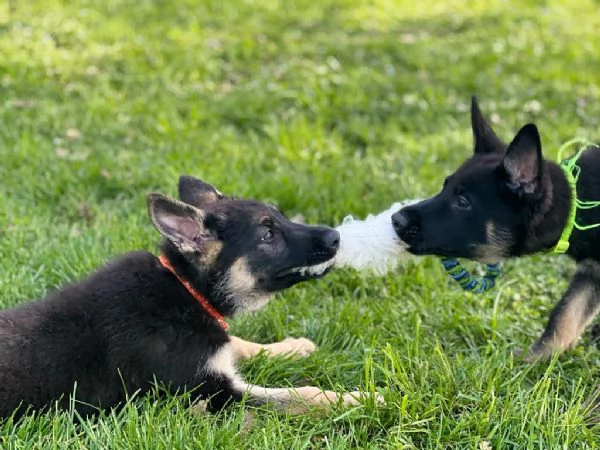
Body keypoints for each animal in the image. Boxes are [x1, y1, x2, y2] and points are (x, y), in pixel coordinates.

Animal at [0, 175, 376, 418]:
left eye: (283, 216)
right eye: (267, 235)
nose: (336, 237)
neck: (185, 289)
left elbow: (239, 343)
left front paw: (292, 347)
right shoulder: (213, 394)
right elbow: (301, 395)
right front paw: (363, 399)